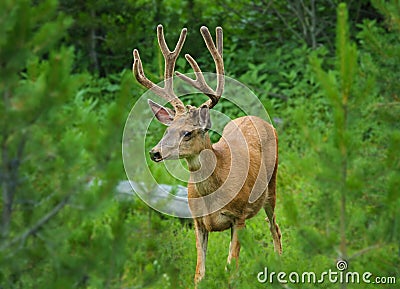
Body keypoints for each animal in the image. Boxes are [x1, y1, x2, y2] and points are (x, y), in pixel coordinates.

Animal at [131, 24, 282, 286]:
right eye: (168, 129)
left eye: (188, 132)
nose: (155, 152)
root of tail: (259, 119)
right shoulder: (197, 221)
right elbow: (199, 274)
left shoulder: (238, 216)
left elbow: (230, 267)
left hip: (271, 186)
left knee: (275, 228)